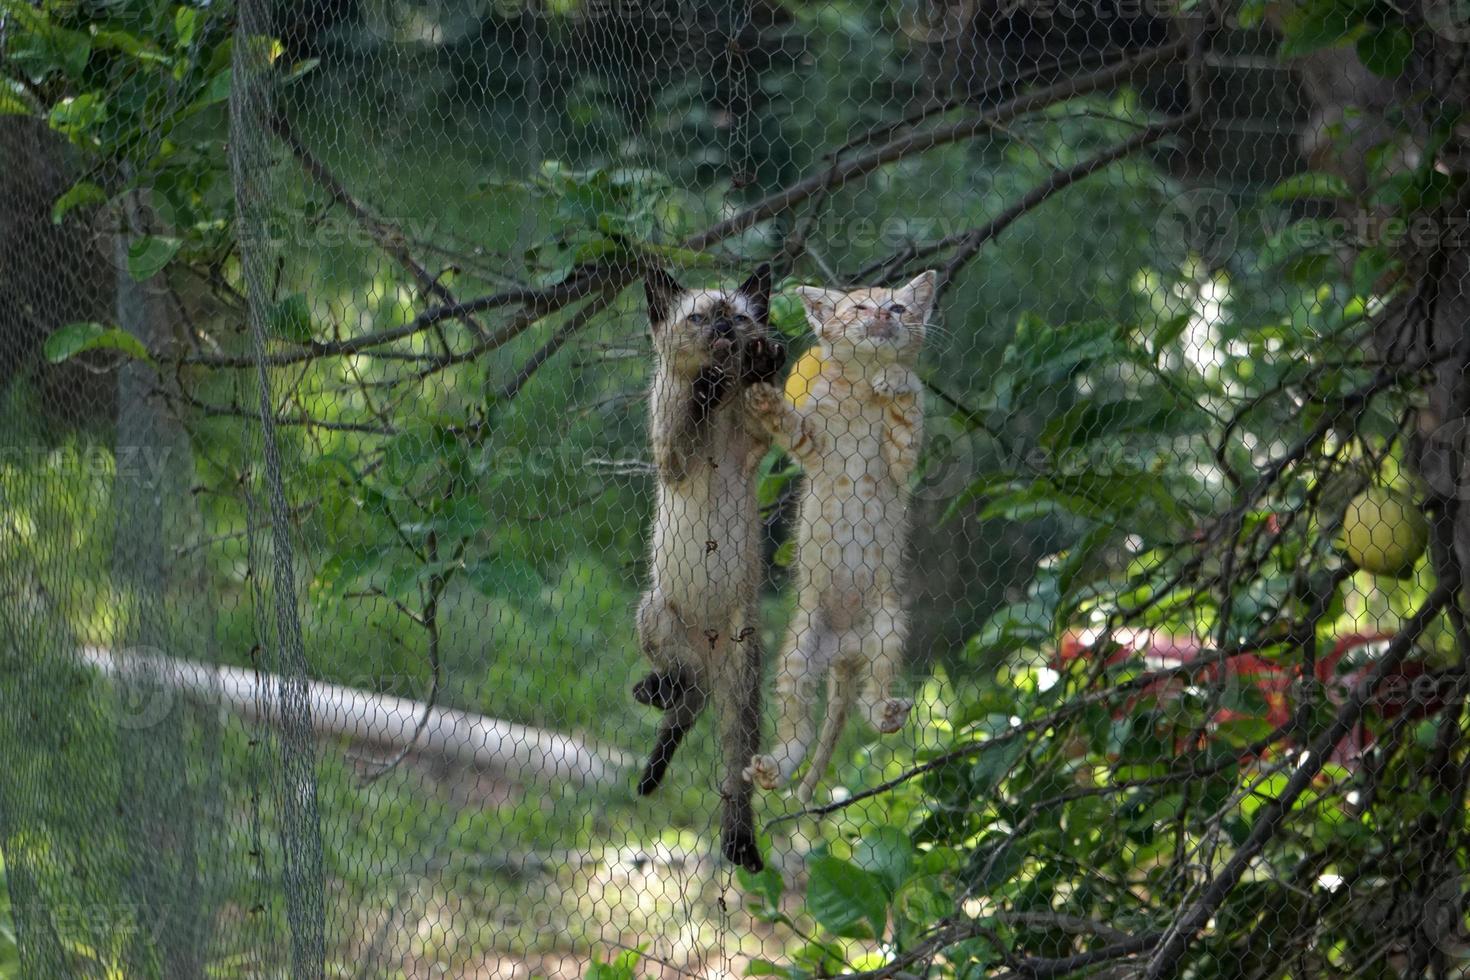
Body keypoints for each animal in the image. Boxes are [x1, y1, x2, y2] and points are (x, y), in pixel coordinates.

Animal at [740, 270, 934, 805]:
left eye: (898, 307)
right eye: (859, 307)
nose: (883, 315)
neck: (861, 387)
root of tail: (845, 651)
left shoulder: (902, 463)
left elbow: (908, 415)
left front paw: (898, 382)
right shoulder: (812, 445)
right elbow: (792, 426)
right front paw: (764, 400)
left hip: (889, 626)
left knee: (872, 696)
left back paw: (883, 710)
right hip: (798, 650)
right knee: (798, 725)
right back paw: (775, 767)